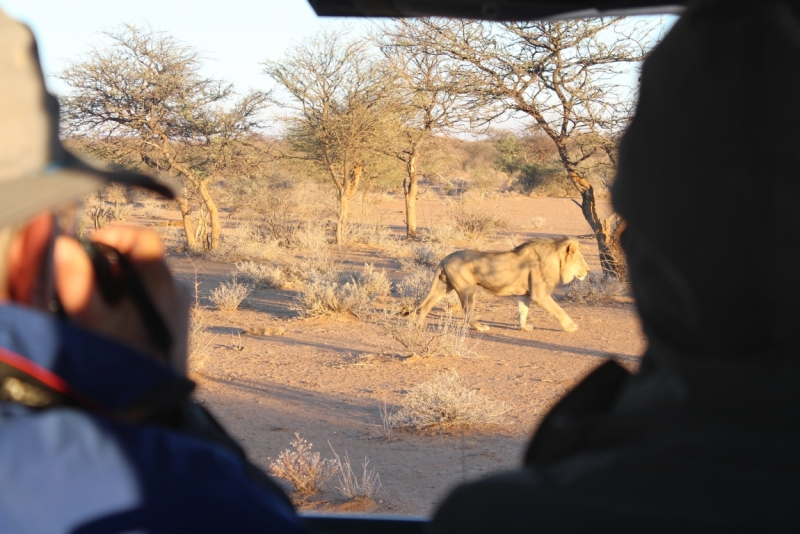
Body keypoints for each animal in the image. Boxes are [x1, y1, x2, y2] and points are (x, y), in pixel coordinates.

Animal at [416, 240, 592, 336]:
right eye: (581, 259)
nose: (589, 270)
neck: (554, 260)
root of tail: (444, 259)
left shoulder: (525, 294)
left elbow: (523, 312)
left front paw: (524, 327)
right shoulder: (540, 294)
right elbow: (559, 310)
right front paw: (571, 326)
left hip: (444, 286)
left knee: (425, 306)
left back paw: (419, 325)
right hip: (467, 289)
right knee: (467, 313)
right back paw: (481, 327)